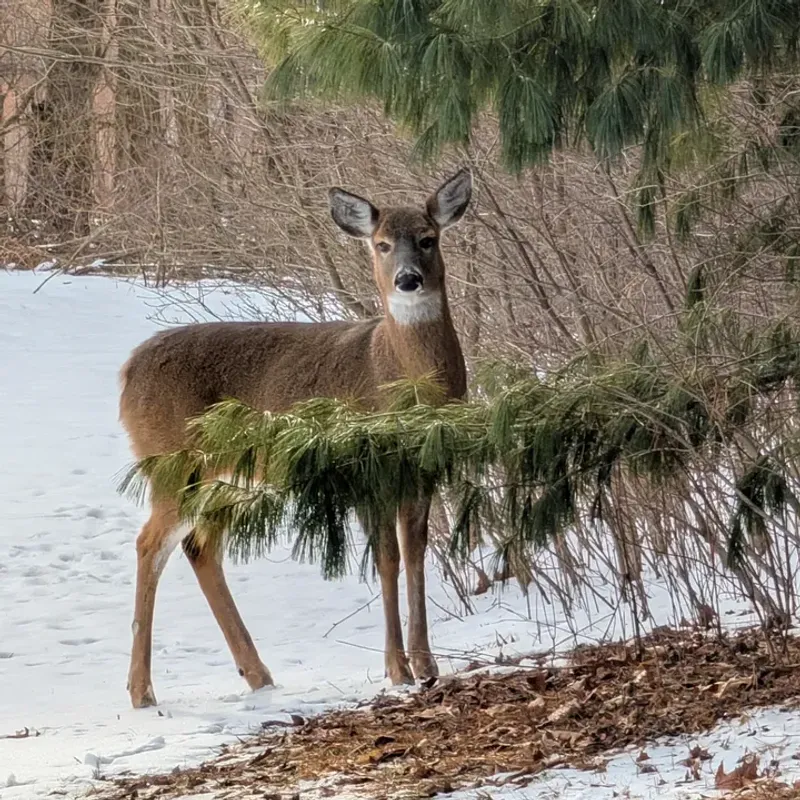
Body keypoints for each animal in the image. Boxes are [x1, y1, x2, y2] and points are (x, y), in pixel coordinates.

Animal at [119, 169, 472, 708]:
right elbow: (387, 559)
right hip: (174, 460)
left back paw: (258, 675)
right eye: (382, 244)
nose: (408, 279)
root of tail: (126, 373)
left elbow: (415, 555)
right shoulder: (366, 464)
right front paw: (396, 669)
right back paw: (142, 692)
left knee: (200, 547)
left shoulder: (422, 468)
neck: (397, 373)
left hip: (230, 478)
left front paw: (427, 665)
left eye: (428, 239)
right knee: (149, 544)